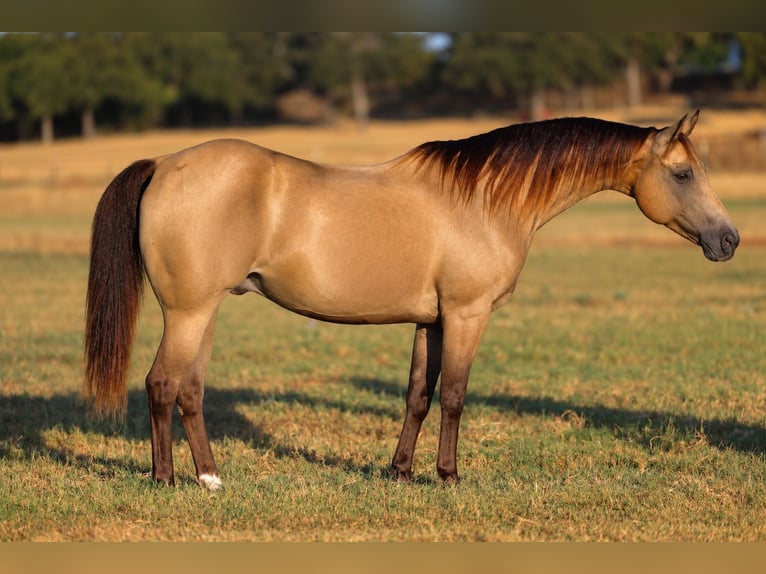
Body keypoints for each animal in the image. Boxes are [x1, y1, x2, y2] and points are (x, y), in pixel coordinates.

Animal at [85, 110, 739, 490]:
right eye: (683, 174)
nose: (729, 239)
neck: (485, 198)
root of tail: (164, 164)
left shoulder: (432, 320)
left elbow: (418, 396)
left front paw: (400, 473)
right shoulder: (467, 315)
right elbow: (454, 396)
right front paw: (448, 477)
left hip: (207, 310)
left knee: (189, 390)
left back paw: (211, 478)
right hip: (189, 312)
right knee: (162, 384)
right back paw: (167, 480)